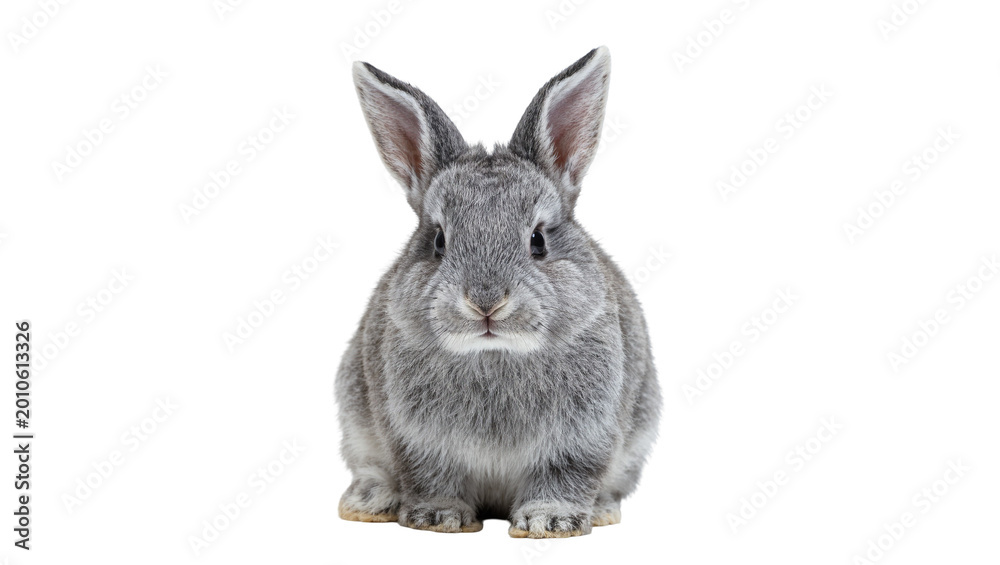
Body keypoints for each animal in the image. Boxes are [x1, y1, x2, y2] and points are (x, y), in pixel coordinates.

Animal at [336, 46, 661, 538]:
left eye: (538, 240)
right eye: (438, 240)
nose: (486, 302)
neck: (495, 353)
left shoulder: (581, 438)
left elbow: (564, 477)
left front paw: (549, 521)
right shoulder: (418, 441)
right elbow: (431, 477)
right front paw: (438, 518)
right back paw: (369, 501)